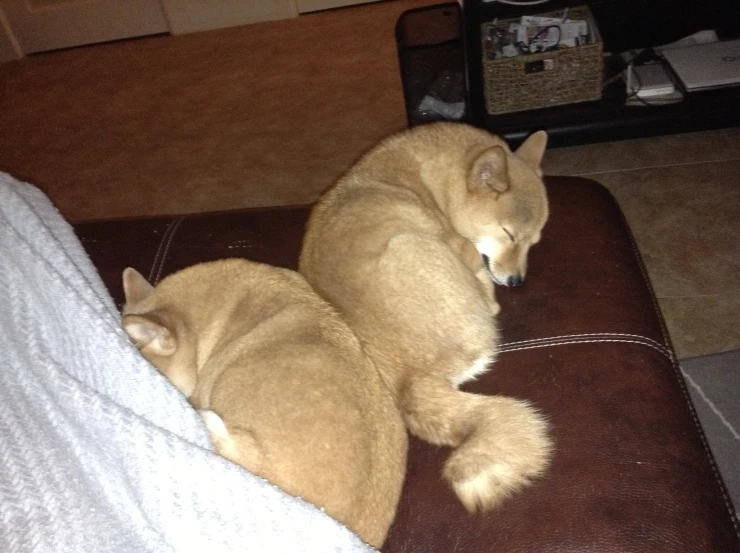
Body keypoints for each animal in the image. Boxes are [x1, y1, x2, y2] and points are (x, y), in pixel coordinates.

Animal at [298, 123, 552, 512]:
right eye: (508, 234)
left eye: (534, 242)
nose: (517, 282)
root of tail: (409, 383)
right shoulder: (466, 251)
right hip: (411, 243)